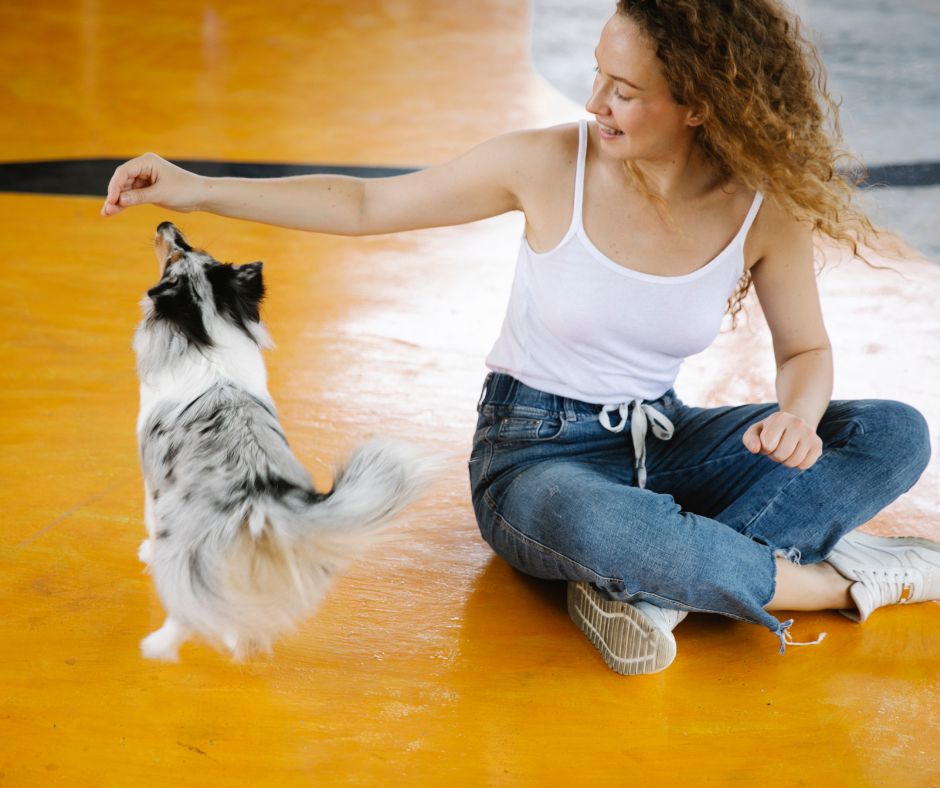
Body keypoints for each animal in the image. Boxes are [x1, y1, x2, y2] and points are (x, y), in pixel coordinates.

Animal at [134, 222, 436, 660]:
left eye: (176, 255)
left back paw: (158, 644)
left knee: (192, 609)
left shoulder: (153, 482)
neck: (209, 338)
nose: (165, 225)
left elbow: (150, 522)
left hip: (190, 552)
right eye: (191, 245)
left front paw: (146, 551)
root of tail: (261, 495)